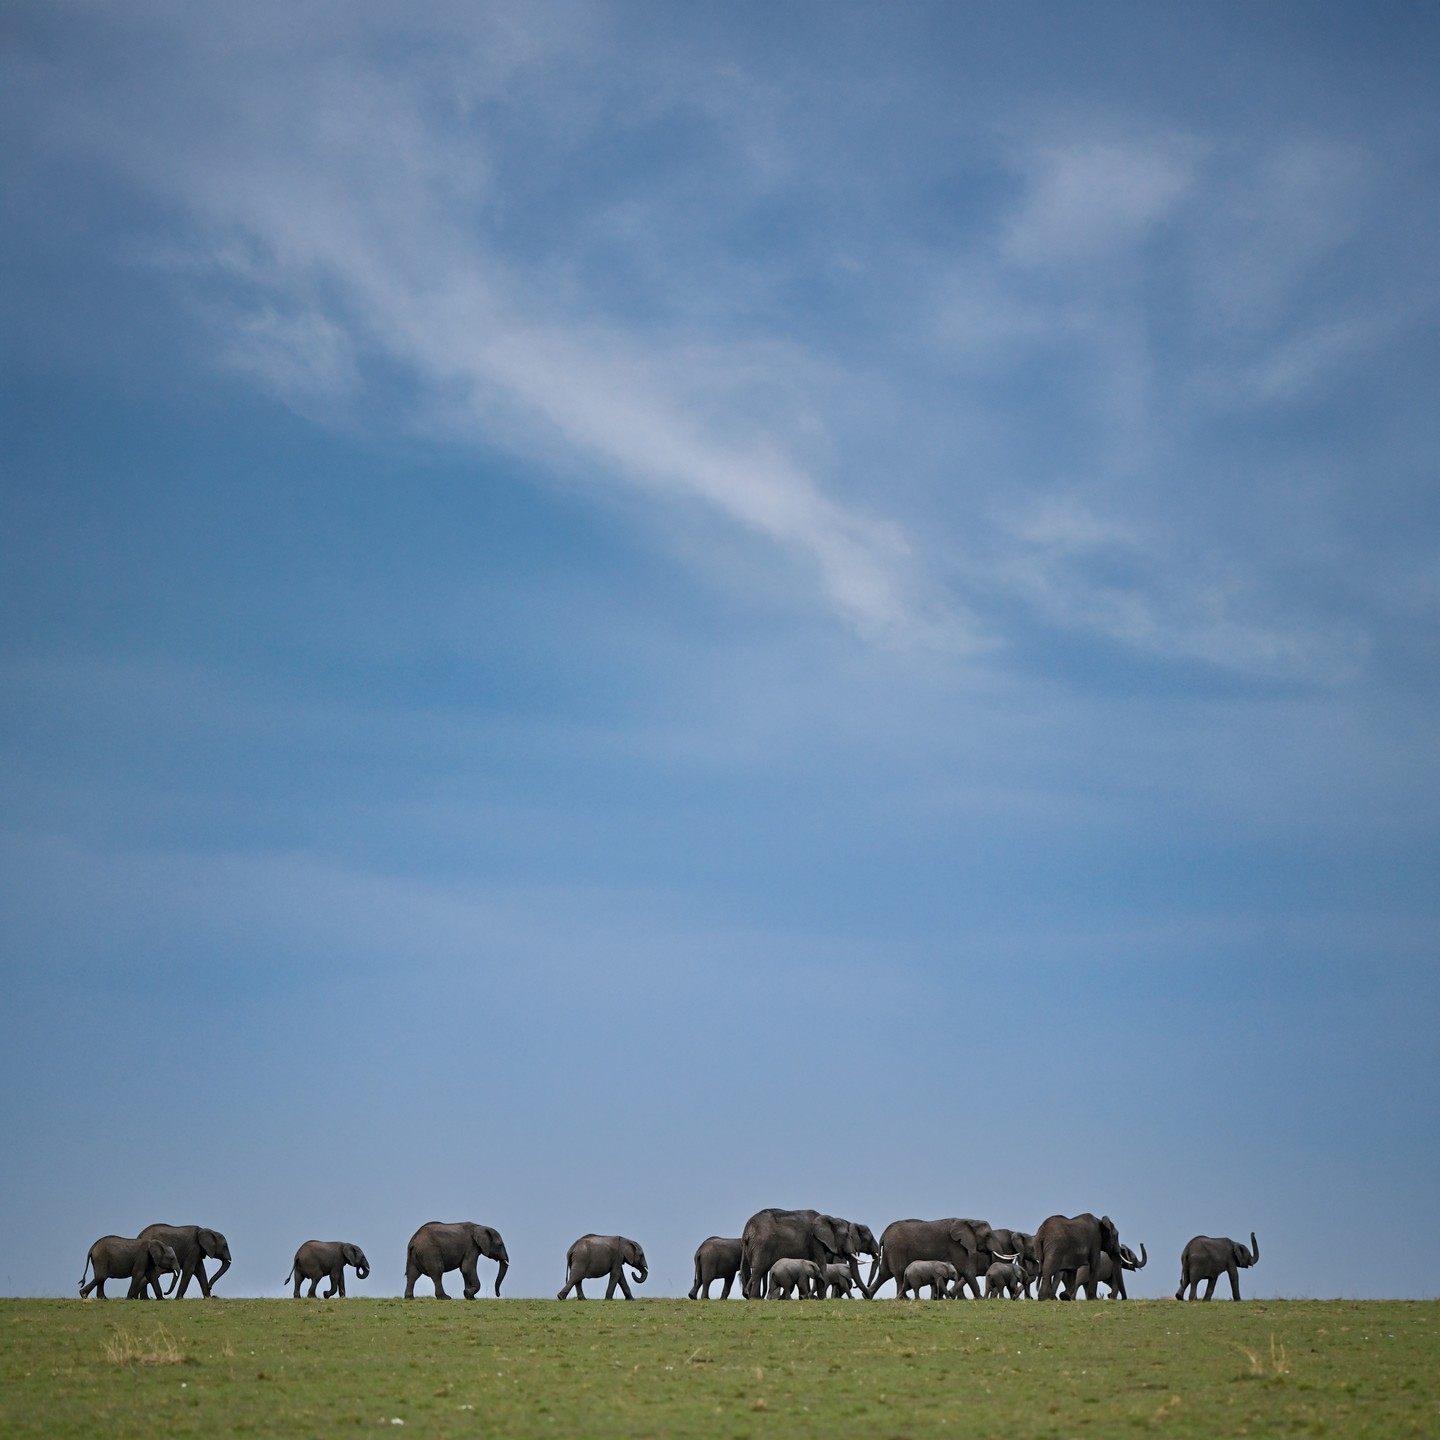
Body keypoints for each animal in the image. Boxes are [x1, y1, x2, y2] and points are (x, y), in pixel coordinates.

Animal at [739, 1209, 875, 1299]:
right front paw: (821, 1299)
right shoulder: (815, 1241)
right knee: (759, 1270)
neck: (830, 1219)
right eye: (847, 1236)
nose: (867, 1297)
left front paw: (810, 1298)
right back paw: (755, 1298)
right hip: (762, 1245)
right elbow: (821, 1264)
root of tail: (747, 1230)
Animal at [865, 1218, 996, 1299]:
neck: (969, 1220)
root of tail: (884, 1233)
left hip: (890, 1249)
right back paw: (904, 1299)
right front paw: (980, 1299)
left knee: (884, 1273)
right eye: (987, 1235)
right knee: (898, 1272)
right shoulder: (955, 1245)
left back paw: (867, 1296)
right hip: (897, 1248)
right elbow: (966, 1270)